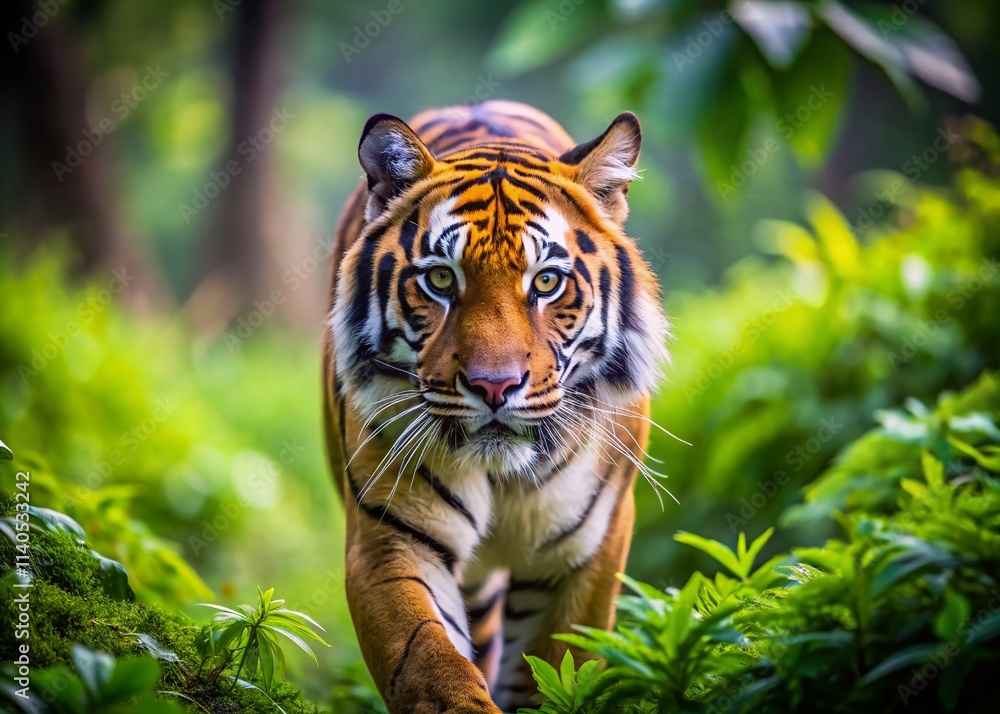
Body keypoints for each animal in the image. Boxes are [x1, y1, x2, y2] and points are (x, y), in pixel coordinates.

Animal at [322, 99, 669, 713]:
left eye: (547, 282)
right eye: (440, 278)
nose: (493, 386)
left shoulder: (585, 554)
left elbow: (559, 672)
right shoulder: (391, 539)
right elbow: (429, 661)